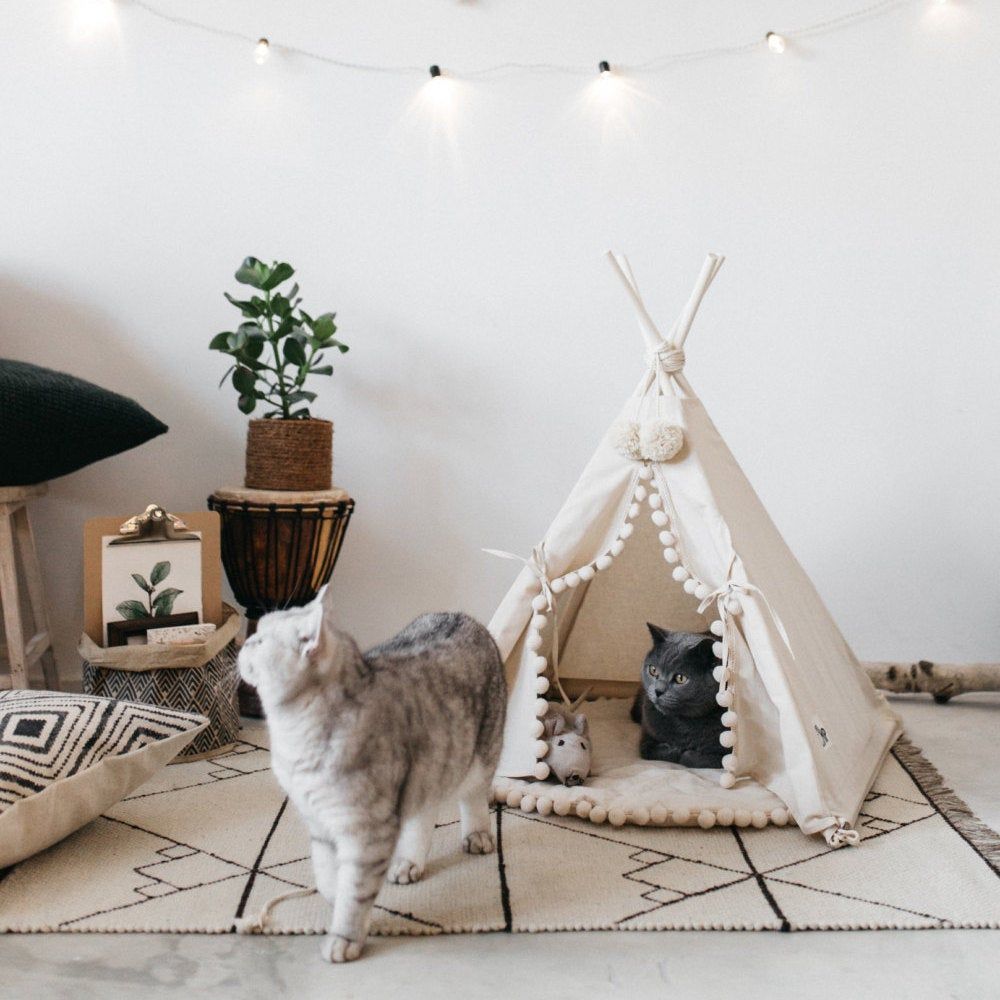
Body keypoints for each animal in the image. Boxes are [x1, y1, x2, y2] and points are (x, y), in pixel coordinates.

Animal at [238, 588, 508, 964]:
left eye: (261, 641)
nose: (244, 643)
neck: (294, 736)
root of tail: (460, 615)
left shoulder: (367, 830)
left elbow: (355, 890)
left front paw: (345, 936)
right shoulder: (320, 823)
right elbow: (327, 875)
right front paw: (334, 898)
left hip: (480, 755)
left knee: (474, 800)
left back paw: (477, 836)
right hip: (427, 767)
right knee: (422, 818)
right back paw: (409, 863)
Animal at [628, 620, 724, 768]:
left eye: (680, 678)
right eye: (653, 670)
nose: (658, 690)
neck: (682, 724)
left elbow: (691, 758)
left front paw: (685, 752)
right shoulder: (646, 739)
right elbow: (657, 751)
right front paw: (675, 749)